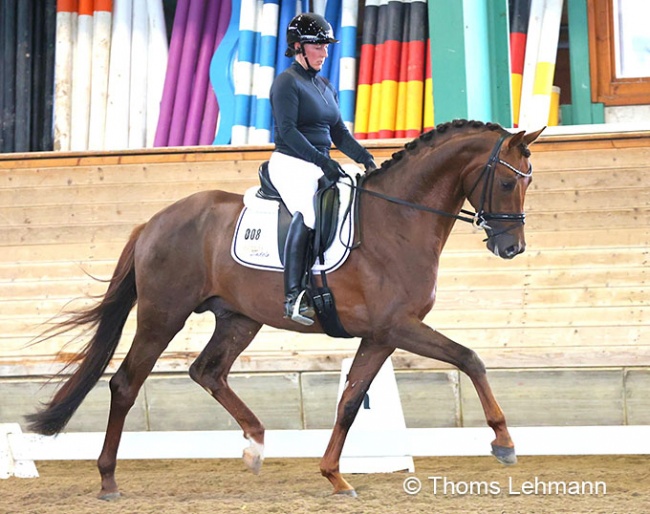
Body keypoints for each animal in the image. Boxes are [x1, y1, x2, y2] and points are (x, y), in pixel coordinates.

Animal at [25, 119, 540, 496]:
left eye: (528, 181)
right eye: (507, 182)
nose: (512, 247)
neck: (399, 218)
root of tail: (153, 222)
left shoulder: (380, 336)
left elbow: (351, 401)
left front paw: (335, 476)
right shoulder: (399, 326)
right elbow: (469, 358)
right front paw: (504, 441)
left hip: (238, 319)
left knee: (207, 371)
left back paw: (255, 444)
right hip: (162, 316)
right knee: (126, 383)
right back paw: (108, 479)